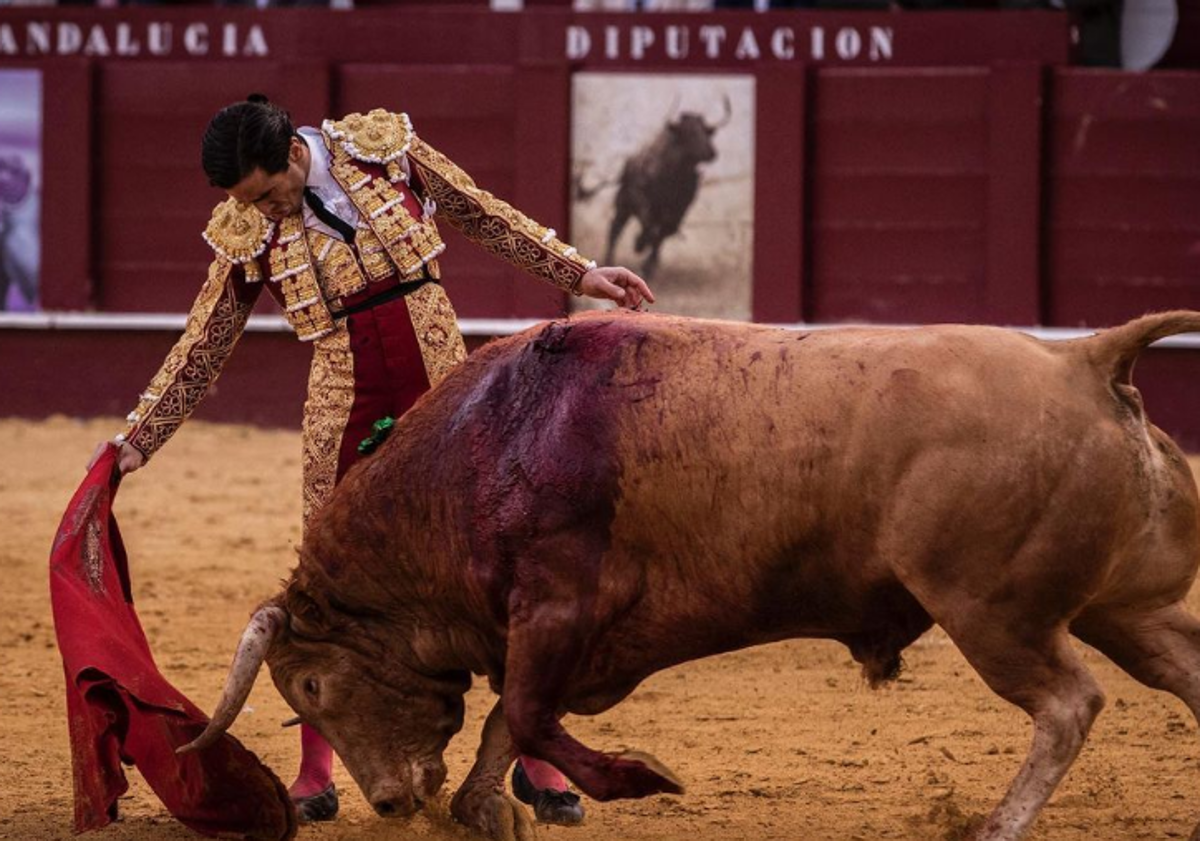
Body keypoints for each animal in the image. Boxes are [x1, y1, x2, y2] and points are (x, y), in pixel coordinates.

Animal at [184, 309, 1200, 839]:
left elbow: (525, 712)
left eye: (313, 686)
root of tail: (1086, 358)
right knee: (1179, 668)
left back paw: (993, 827)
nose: (394, 802)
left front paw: (639, 778)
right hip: (1120, 605)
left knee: (1069, 703)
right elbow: (512, 717)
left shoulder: (555, 605)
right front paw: (482, 807)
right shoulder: (548, 630)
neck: (489, 441)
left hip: (992, 610)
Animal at [600, 96, 729, 277]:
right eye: (689, 132)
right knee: (615, 229)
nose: (712, 152)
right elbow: (650, 228)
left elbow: (663, 233)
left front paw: (649, 265)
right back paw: (610, 260)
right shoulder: (642, 201)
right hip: (623, 205)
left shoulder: (678, 212)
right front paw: (639, 245)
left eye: (706, 131)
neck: (672, 177)